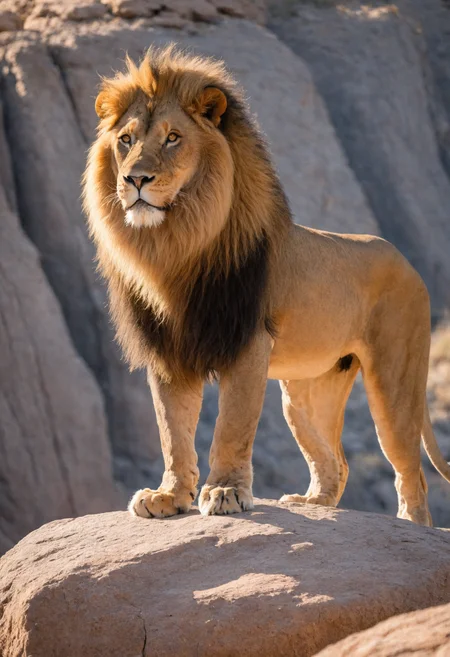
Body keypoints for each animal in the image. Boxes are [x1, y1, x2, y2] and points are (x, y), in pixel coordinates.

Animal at [83, 45, 450, 527]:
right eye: (125, 140)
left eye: (173, 138)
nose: (135, 180)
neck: (174, 248)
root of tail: (407, 262)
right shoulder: (168, 350)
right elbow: (172, 432)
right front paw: (170, 496)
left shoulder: (247, 342)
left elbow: (232, 425)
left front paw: (226, 492)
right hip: (305, 394)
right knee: (337, 463)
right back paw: (310, 503)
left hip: (394, 382)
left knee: (411, 473)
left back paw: (408, 525)